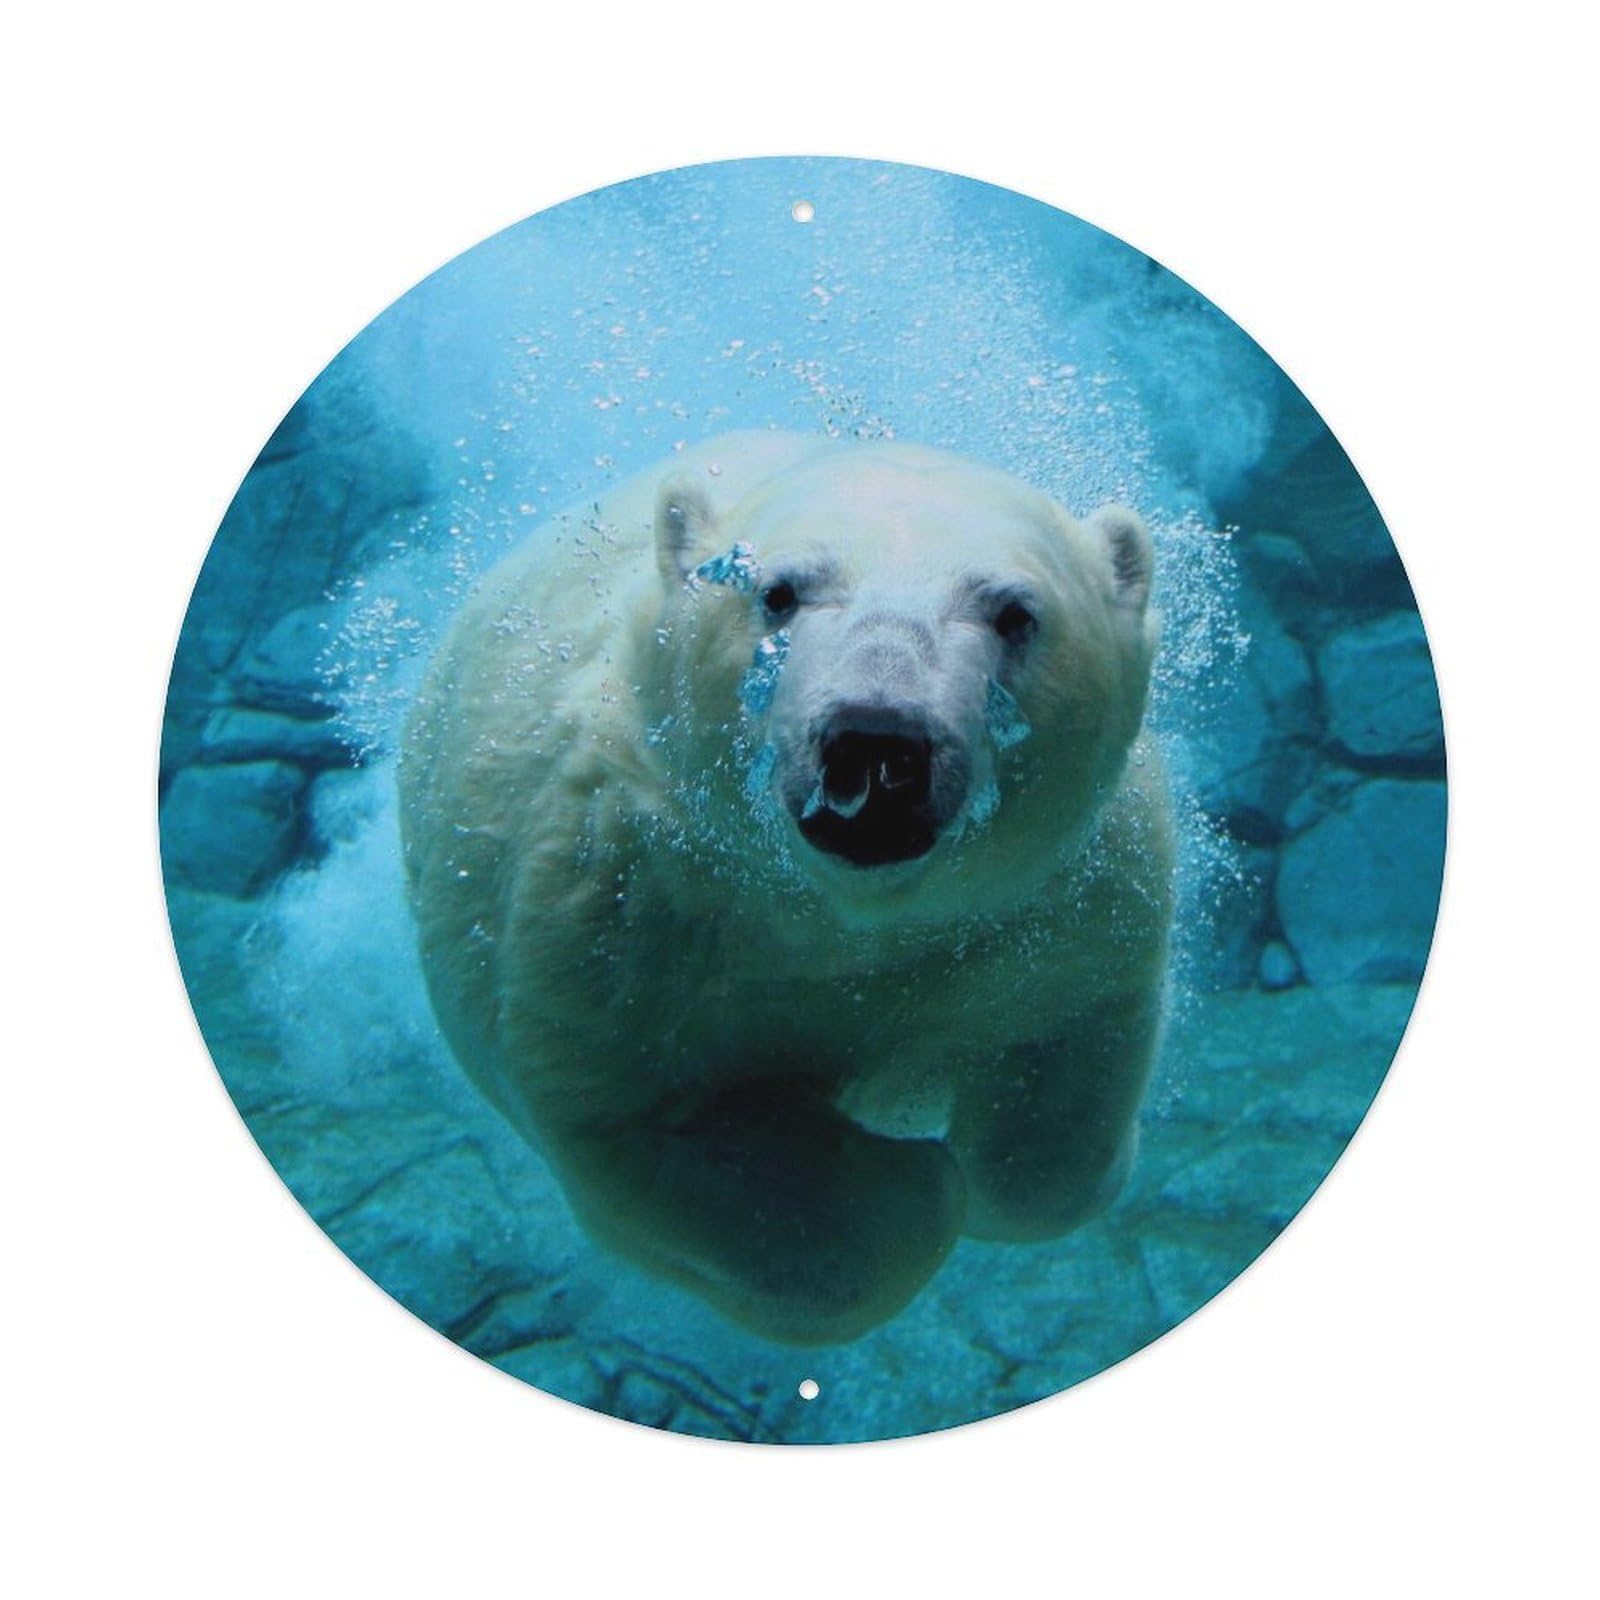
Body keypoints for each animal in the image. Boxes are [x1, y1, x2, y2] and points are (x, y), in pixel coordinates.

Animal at [399, 431, 1173, 1346]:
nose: (877, 741)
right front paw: (910, 1182)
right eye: (777, 592)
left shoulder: (1059, 900)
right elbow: (647, 1124)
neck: (841, 918)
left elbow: (1062, 1067)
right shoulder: (618, 909)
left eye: (1016, 612)